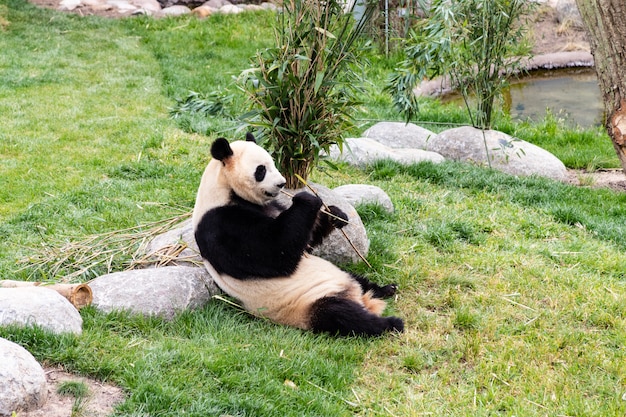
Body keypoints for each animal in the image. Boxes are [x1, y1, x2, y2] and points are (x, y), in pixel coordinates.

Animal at [191, 132, 404, 336]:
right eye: (261, 170)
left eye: (273, 163)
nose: (282, 183)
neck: (223, 189)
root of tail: (360, 299)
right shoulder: (221, 223)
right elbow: (274, 254)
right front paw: (308, 199)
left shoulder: (271, 207)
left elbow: (304, 241)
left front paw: (336, 215)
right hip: (308, 304)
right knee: (342, 316)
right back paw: (391, 324)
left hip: (340, 274)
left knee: (359, 281)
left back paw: (385, 289)